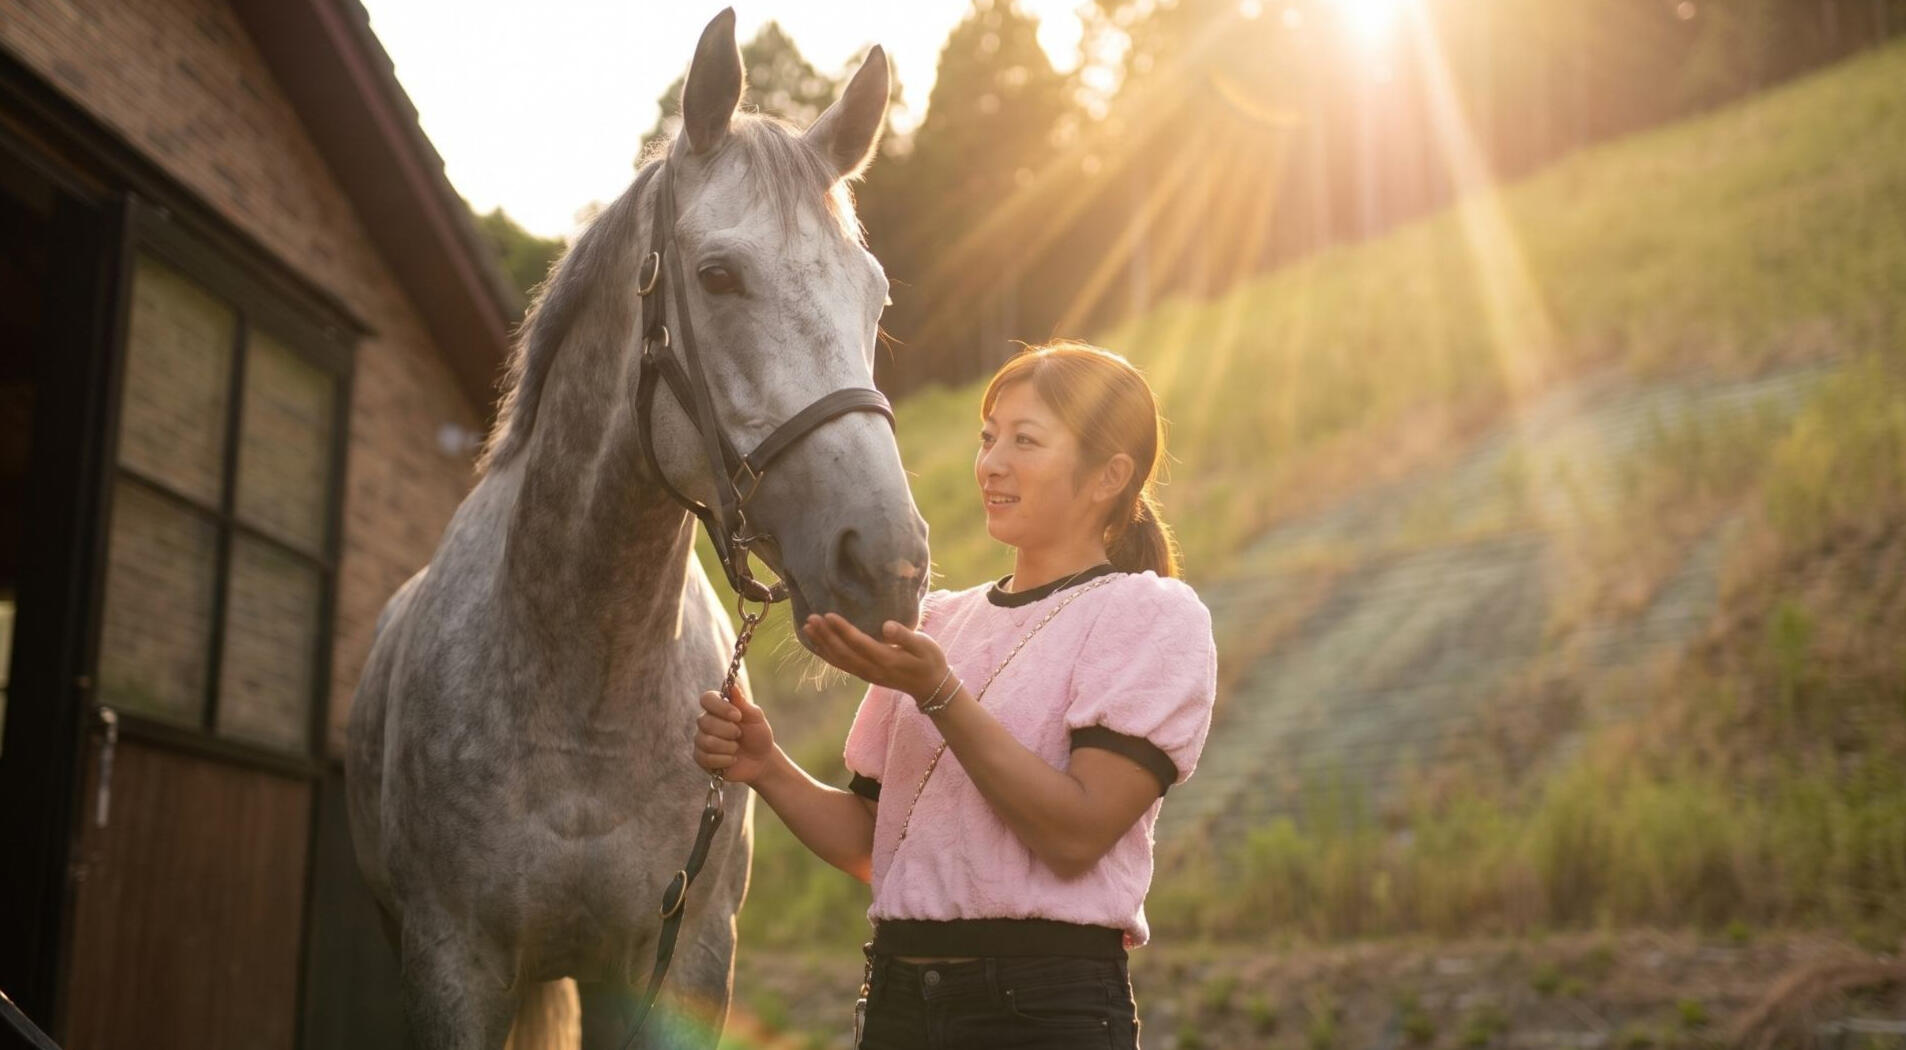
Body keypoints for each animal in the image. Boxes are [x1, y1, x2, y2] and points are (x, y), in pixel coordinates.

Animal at [344, 11, 928, 1048]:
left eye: (877, 296)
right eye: (718, 275)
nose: (887, 562)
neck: (587, 688)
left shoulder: (683, 960)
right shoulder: (451, 962)